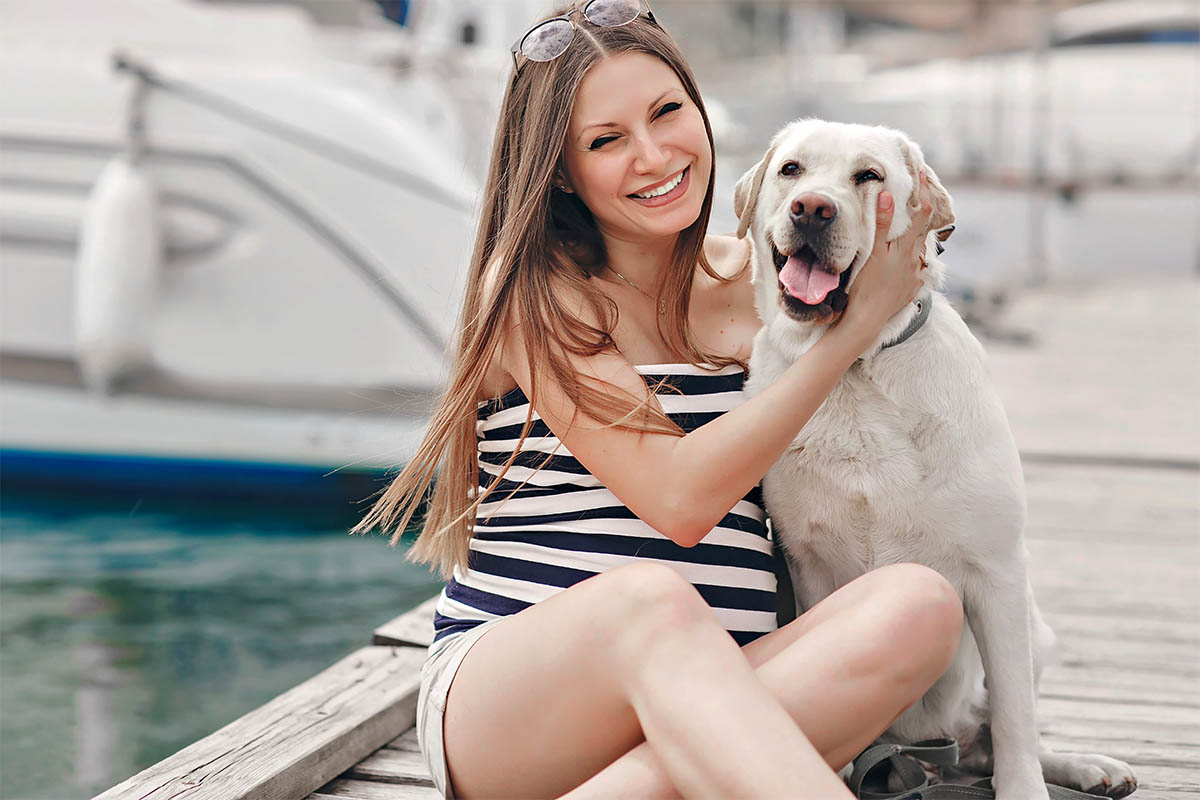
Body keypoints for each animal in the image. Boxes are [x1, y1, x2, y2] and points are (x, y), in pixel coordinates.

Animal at [734, 120, 1137, 800]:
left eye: (867, 176)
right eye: (792, 170)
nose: (811, 209)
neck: (853, 368)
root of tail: (931, 753)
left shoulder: (998, 572)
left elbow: (1016, 717)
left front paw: (1026, 788)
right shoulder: (809, 565)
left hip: (1034, 630)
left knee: (1005, 730)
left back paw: (1086, 766)